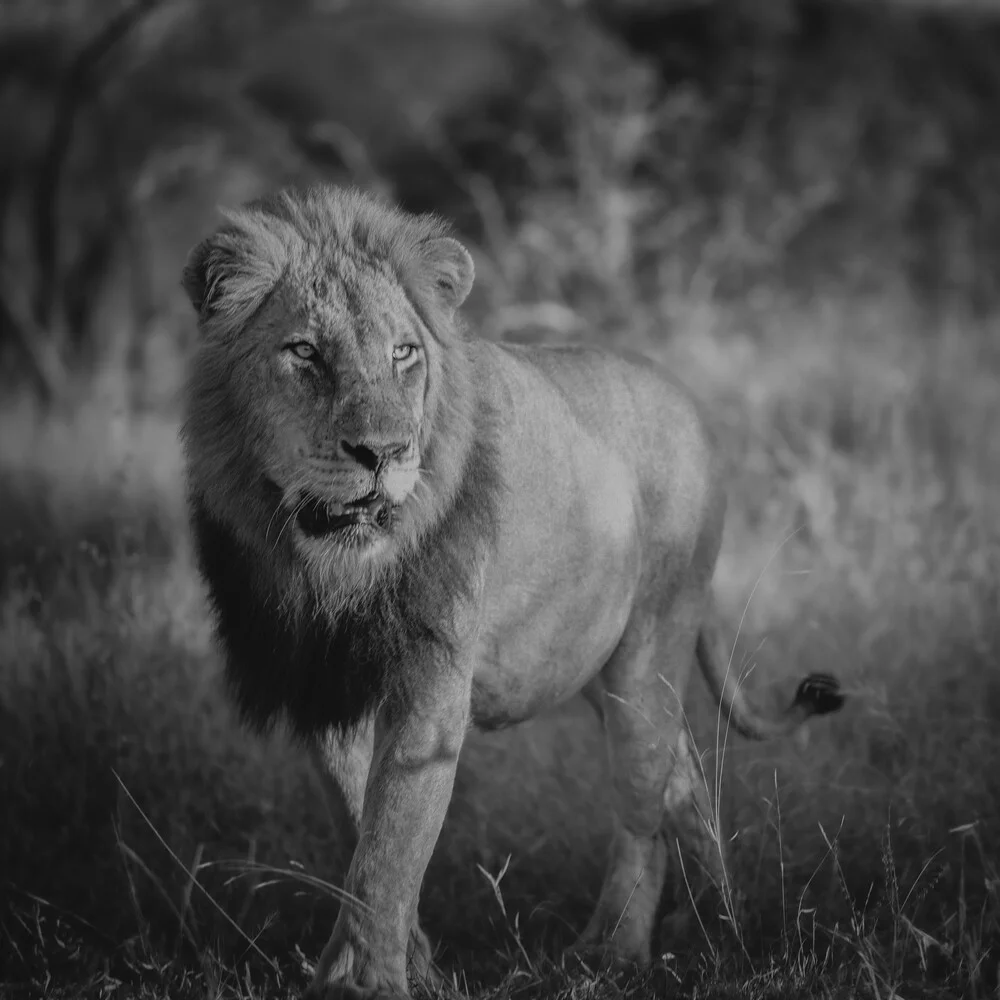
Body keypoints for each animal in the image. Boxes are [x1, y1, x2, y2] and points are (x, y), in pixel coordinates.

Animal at [182, 188, 844, 1000]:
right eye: (304, 352)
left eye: (404, 353)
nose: (385, 453)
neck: (328, 572)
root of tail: (689, 400)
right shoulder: (324, 683)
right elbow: (361, 831)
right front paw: (416, 966)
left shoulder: (432, 680)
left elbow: (393, 839)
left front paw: (363, 983)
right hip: (594, 662)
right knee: (684, 776)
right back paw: (724, 933)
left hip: (650, 647)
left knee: (643, 803)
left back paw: (615, 951)